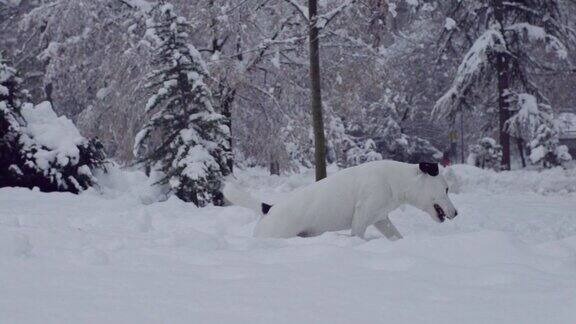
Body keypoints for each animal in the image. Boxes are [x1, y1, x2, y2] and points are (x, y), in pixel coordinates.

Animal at [225, 161, 460, 240]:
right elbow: (358, 236)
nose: (457, 213)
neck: (395, 180)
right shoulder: (361, 219)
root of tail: (268, 209)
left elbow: (396, 236)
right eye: (446, 189)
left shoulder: (381, 219)